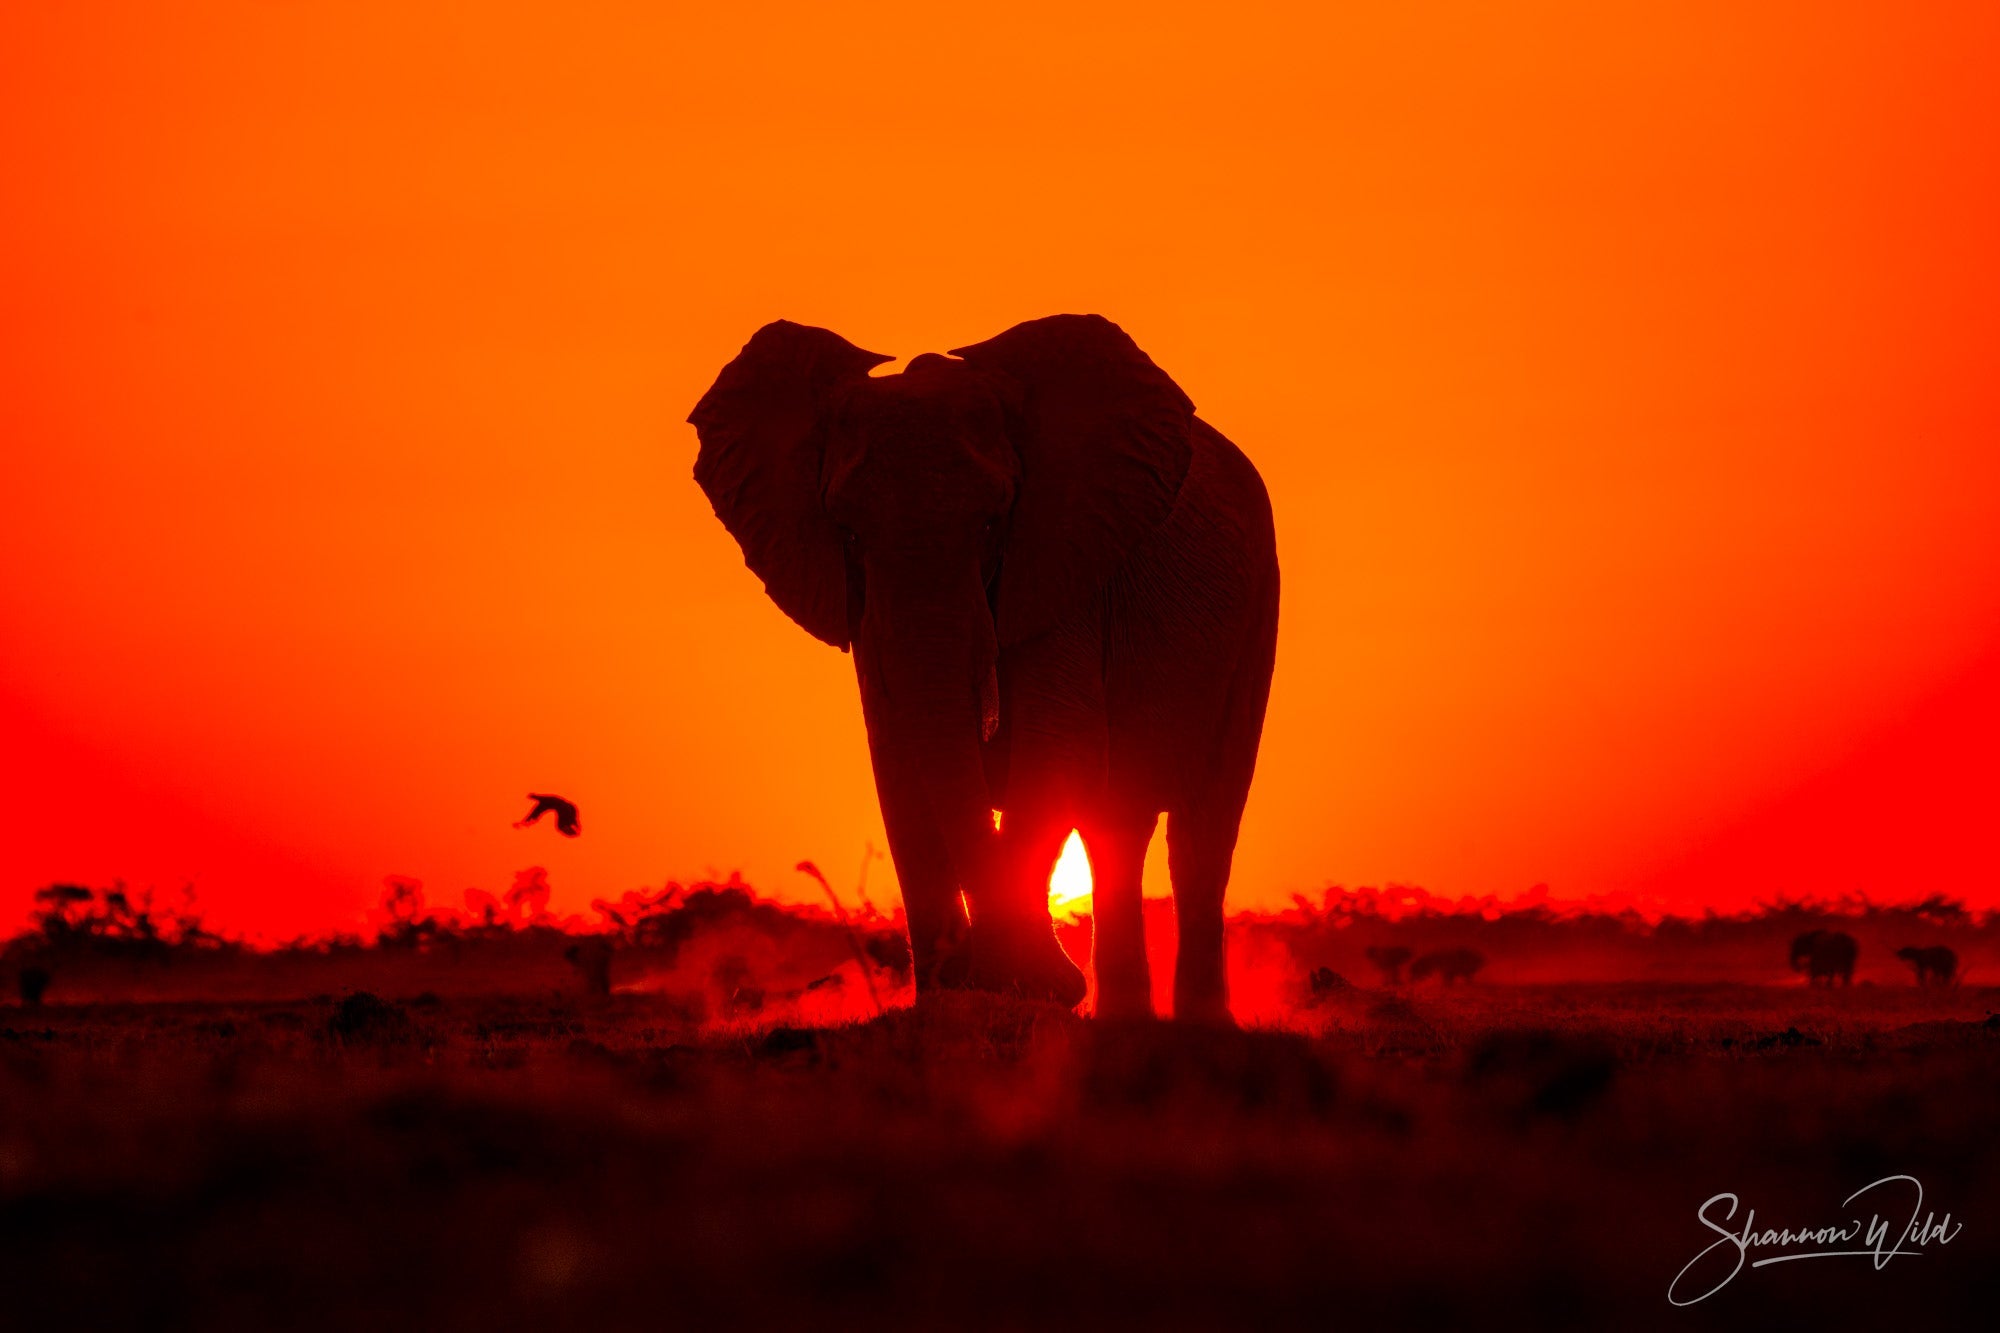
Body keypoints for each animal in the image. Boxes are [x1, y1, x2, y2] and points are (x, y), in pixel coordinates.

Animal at [690, 315, 1278, 1021]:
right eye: (848, 533)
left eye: (995, 521)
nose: (976, 969)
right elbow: (899, 769)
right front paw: (957, 1003)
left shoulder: (1062, 561)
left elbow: (1057, 748)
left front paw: (1026, 986)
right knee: (1118, 824)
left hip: (1259, 609)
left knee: (1201, 827)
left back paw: (1192, 1024)